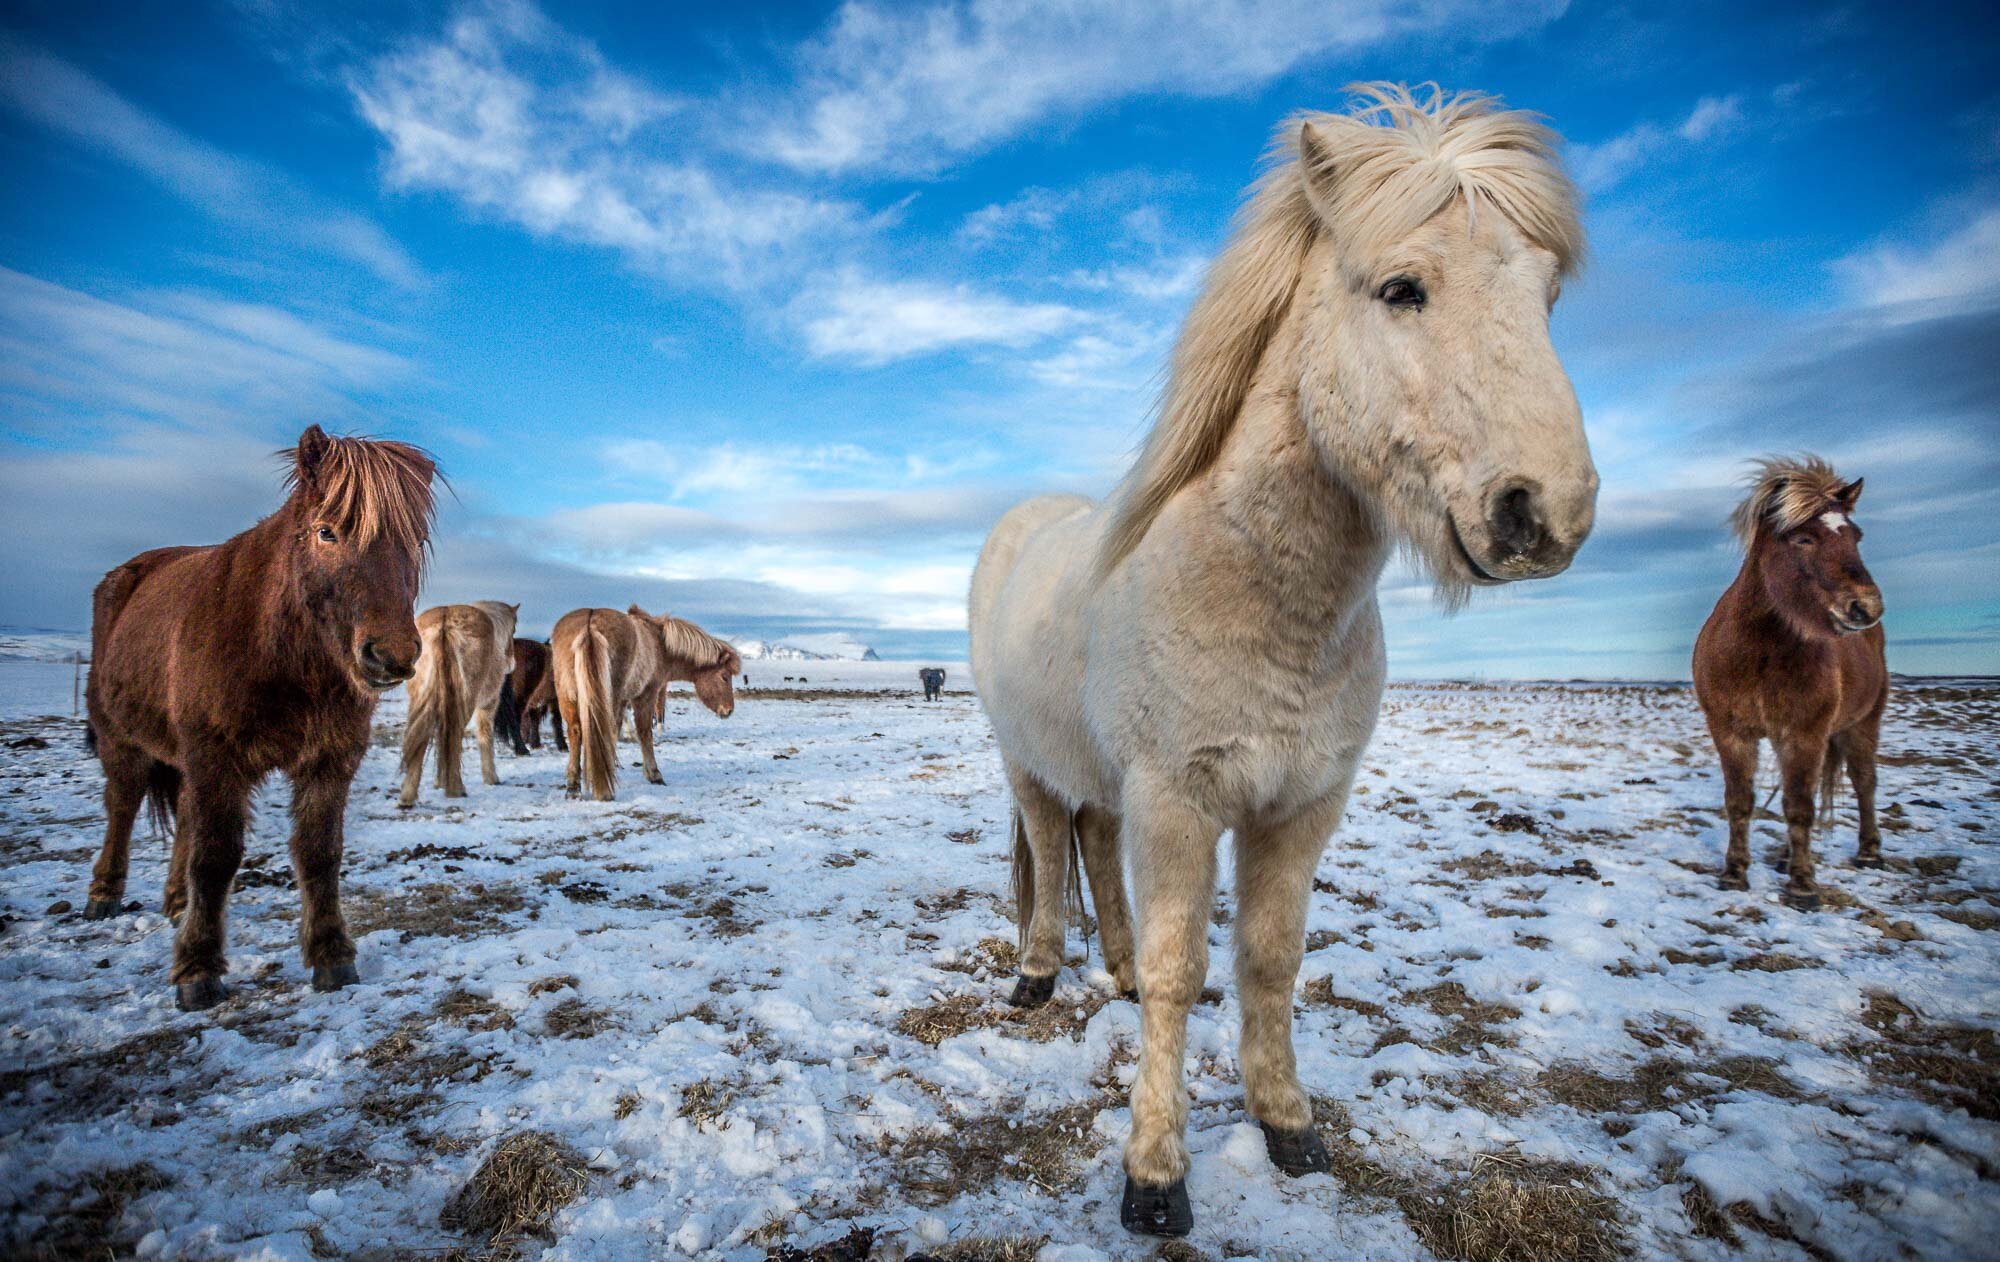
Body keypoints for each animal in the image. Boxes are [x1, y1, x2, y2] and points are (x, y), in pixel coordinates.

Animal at [84, 430, 436, 1012]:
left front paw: (332, 956)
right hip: (123, 741)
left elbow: (319, 853)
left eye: (416, 540)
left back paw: (178, 903)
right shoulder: (216, 757)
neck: (280, 652)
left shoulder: (330, 759)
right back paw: (103, 896)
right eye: (326, 532)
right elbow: (216, 855)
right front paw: (198, 971)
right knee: (123, 807)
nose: (392, 655)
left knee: (183, 813)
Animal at [398, 604, 520, 808]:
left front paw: (439, 781)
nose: (512, 663)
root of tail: (445, 623)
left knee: (420, 739)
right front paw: (492, 779)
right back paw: (456, 789)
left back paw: (407, 796)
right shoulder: (488, 705)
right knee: (454, 734)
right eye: (514, 630)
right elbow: (485, 736)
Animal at [552, 604, 740, 800]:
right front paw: (654, 774)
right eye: (725, 677)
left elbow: (616, 732)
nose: (729, 710)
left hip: (569, 698)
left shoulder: (623, 701)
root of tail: (589, 625)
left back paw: (573, 787)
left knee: (576, 732)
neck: (660, 645)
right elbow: (644, 732)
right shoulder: (646, 695)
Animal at [964, 84, 1592, 1240]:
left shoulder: (1299, 806)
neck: (1261, 592)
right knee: (1046, 844)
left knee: (1090, 842)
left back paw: (1111, 972)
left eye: (1546, 297)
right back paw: (1036, 979)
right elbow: (1183, 974)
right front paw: (1154, 1176)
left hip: (1105, 781)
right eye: (1401, 289)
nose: (1544, 514)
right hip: (1025, 761)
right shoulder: (1177, 802)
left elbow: (1269, 957)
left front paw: (1287, 1123)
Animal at [1696, 460, 1880, 912]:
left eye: (1856, 536)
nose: (1866, 607)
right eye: (1803, 538)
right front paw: (1734, 874)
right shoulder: (1730, 732)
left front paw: (1803, 886)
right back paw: (1783, 856)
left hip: (1862, 723)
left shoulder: (1803, 734)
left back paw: (1869, 852)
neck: (1760, 650)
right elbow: (1740, 802)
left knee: (1864, 782)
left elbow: (1799, 807)